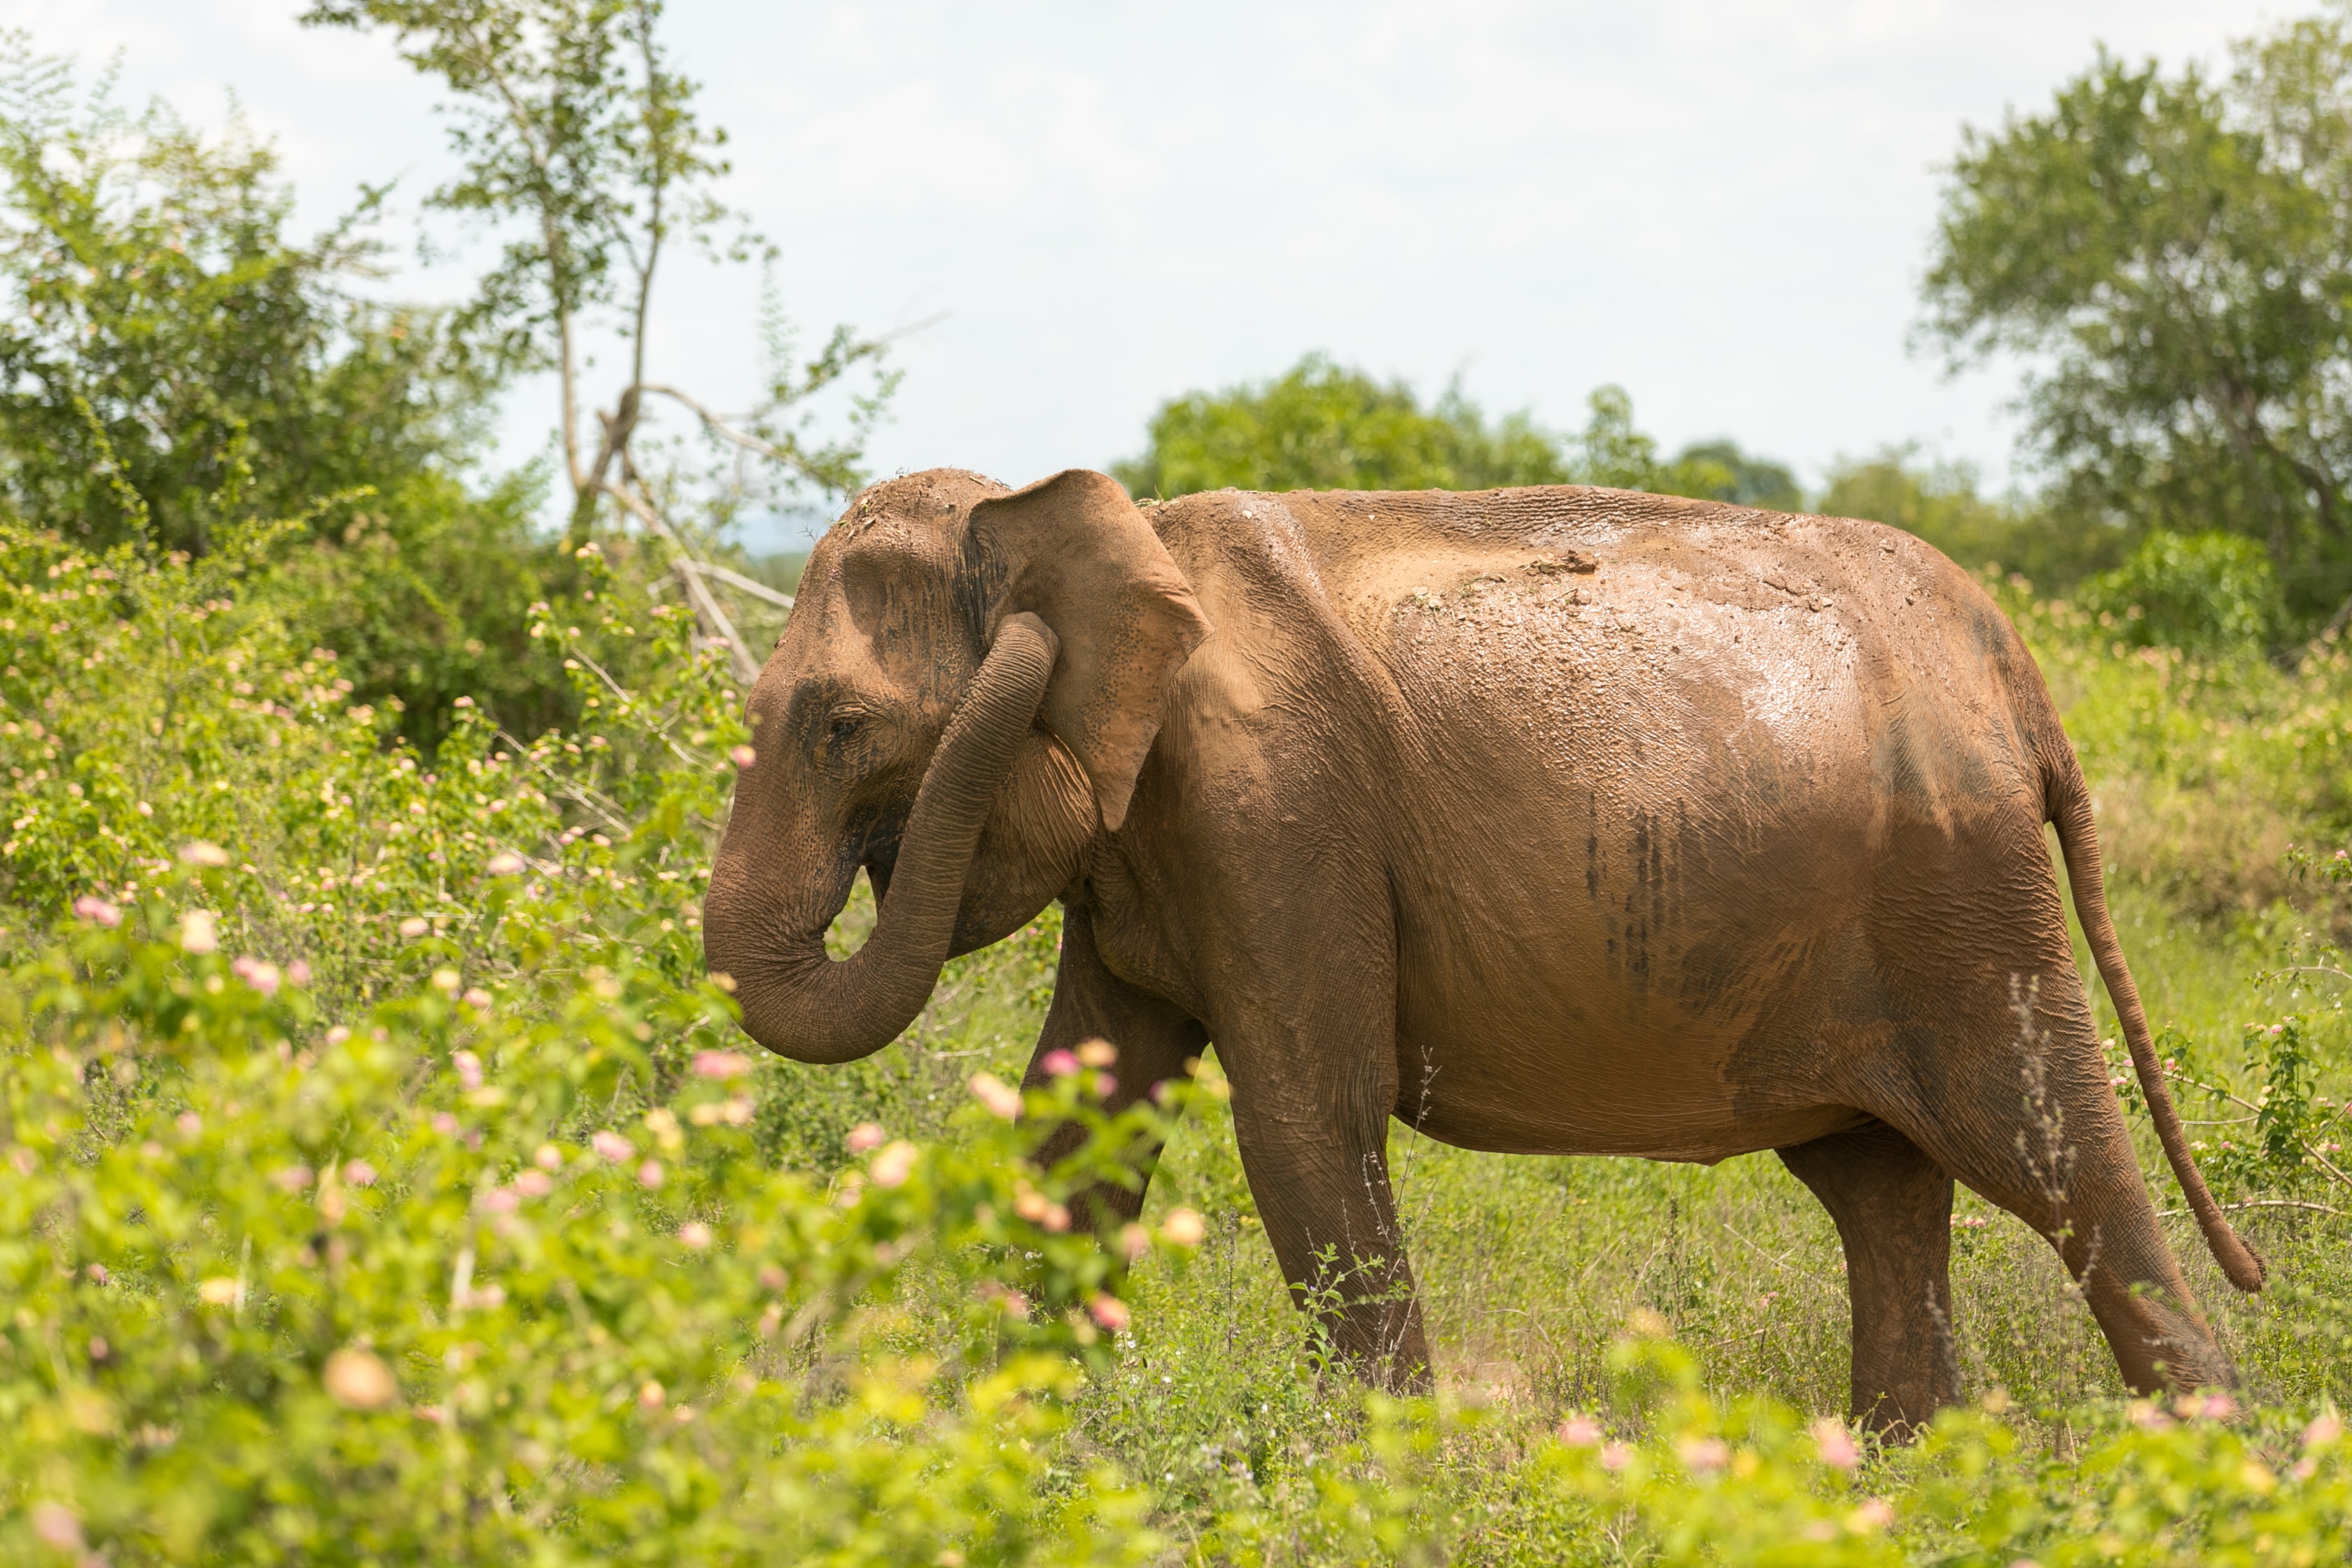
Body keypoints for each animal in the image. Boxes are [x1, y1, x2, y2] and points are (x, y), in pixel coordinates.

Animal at [703, 466, 2264, 1434]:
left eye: (839, 726)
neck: (1081, 518)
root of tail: (2017, 671)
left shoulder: (1275, 816)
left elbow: (1302, 1119)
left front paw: (1380, 1489)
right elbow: (1079, 1120)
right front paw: (1017, 1444)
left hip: (1964, 894)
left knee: (2060, 1165)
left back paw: (2216, 1470)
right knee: (1884, 1194)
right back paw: (1901, 1477)